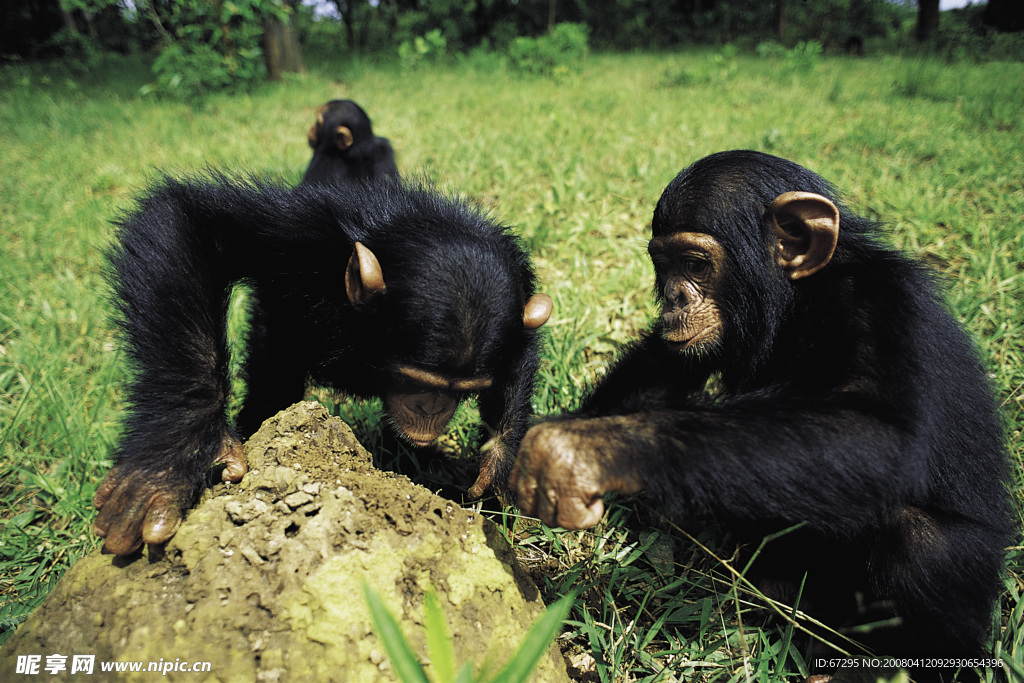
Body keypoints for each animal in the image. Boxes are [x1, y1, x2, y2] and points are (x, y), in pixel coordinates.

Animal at [96, 175, 552, 557]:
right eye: (416, 382)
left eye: (462, 392)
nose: (432, 408)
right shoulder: (300, 239)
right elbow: (192, 225)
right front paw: (166, 461)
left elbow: (521, 346)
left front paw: (504, 468)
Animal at [509, 150, 1007, 679]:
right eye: (663, 265)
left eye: (694, 264)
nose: (674, 298)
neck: (802, 301)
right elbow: (661, 366)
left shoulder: (883, 309)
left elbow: (885, 435)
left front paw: (586, 452)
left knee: (920, 538)